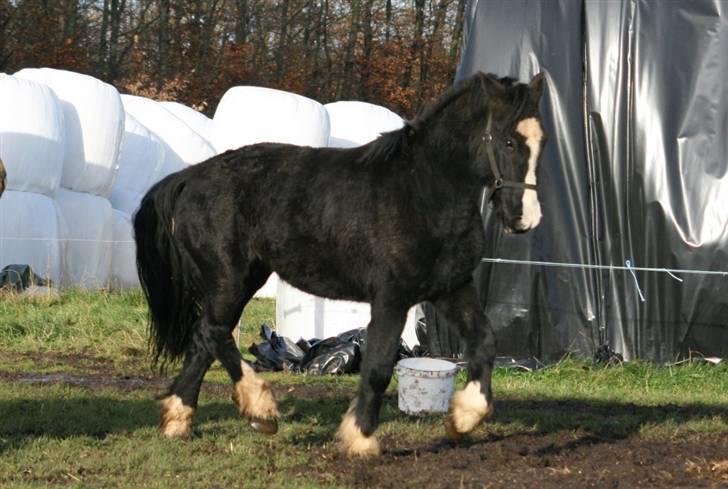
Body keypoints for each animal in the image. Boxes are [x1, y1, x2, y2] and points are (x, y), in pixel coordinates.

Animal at [135, 70, 544, 456]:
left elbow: (484, 341)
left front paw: (463, 418)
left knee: (204, 340)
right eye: (509, 141)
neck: (422, 192)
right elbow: (378, 366)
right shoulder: (391, 298)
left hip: (244, 278)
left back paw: (180, 420)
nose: (525, 218)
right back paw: (261, 410)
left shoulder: (451, 288)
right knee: (212, 333)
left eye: (541, 143)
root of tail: (188, 178)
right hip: (229, 280)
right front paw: (360, 438)